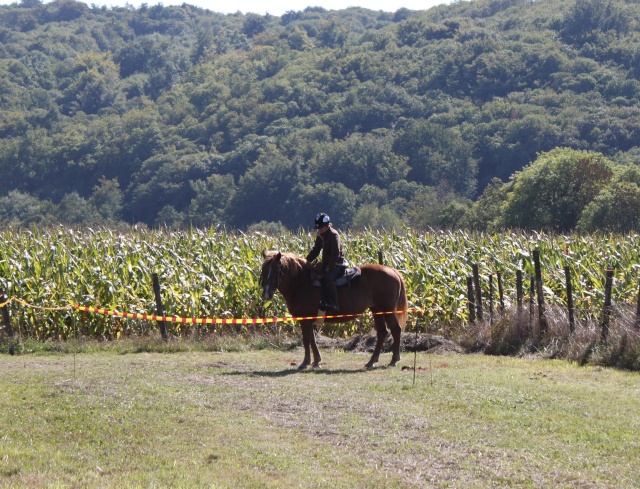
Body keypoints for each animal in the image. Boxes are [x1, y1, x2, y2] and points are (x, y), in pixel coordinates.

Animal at [258, 250, 404, 368]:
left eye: (276, 270)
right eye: (263, 270)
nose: (266, 294)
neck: (302, 283)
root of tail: (392, 271)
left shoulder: (305, 320)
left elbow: (306, 339)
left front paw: (305, 362)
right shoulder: (309, 320)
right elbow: (312, 339)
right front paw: (316, 361)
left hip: (387, 309)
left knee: (395, 330)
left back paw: (394, 360)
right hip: (376, 310)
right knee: (382, 333)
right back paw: (371, 361)